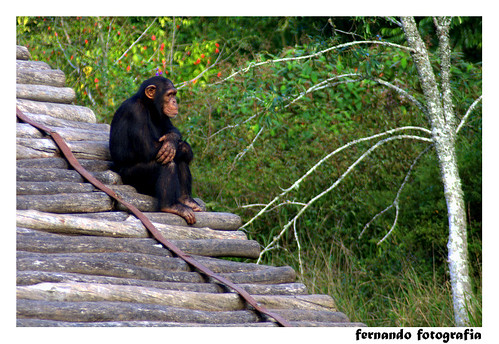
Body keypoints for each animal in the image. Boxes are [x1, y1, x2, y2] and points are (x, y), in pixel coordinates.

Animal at [110, 76, 202, 224]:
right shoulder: (136, 112)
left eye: (174, 94)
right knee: (167, 164)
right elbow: (149, 148)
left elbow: (171, 129)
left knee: (179, 159)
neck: (149, 106)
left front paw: (172, 141)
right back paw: (170, 206)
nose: (174, 101)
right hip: (134, 179)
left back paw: (186, 200)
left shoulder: (162, 115)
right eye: (169, 95)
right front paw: (179, 147)